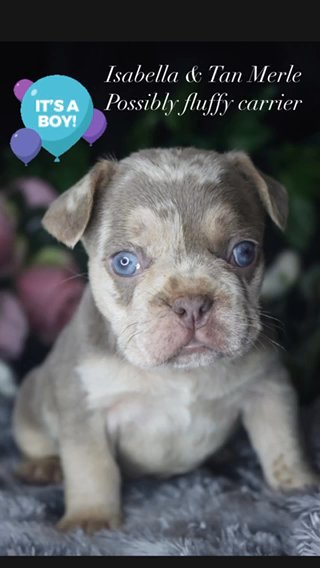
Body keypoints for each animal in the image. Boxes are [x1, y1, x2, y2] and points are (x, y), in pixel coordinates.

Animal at [11, 146, 318, 532]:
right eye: (124, 262)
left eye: (244, 252)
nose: (191, 303)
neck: (178, 373)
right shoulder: (86, 411)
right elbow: (92, 465)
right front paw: (90, 518)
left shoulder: (268, 389)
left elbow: (283, 441)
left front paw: (299, 486)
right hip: (31, 400)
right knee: (35, 438)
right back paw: (43, 466)